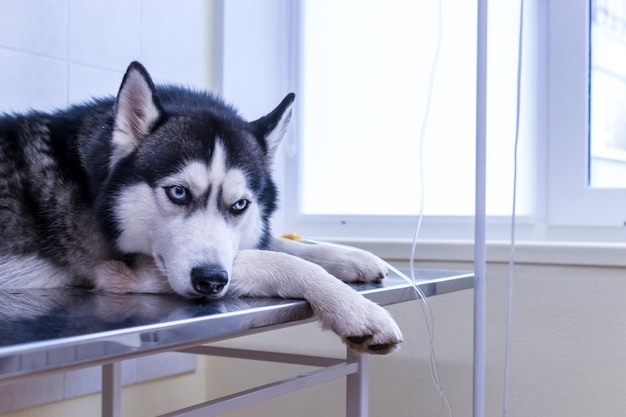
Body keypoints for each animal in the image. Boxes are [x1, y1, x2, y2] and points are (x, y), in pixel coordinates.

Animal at [0, 61, 400, 354]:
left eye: (240, 204)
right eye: (178, 193)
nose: (211, 281)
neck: (89, 177)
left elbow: (274, 244)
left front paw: (351, 257)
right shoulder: (123, 273)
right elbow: (278, 260)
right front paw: (356, 308)